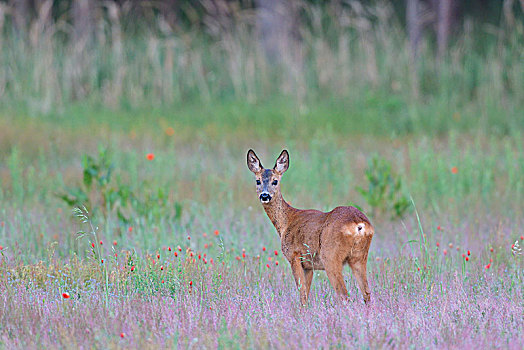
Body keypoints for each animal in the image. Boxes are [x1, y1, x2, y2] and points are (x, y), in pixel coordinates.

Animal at [246, 149, 372, 304]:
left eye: (275, 181)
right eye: (258, 180)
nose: (264, 196)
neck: (286, 222)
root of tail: (359, 224)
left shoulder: (294, 256)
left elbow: (302, 295)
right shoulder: (309, 265)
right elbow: (306, 293)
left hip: (331, 256)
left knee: (343, 294)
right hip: (359, 257)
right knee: (367, 294)